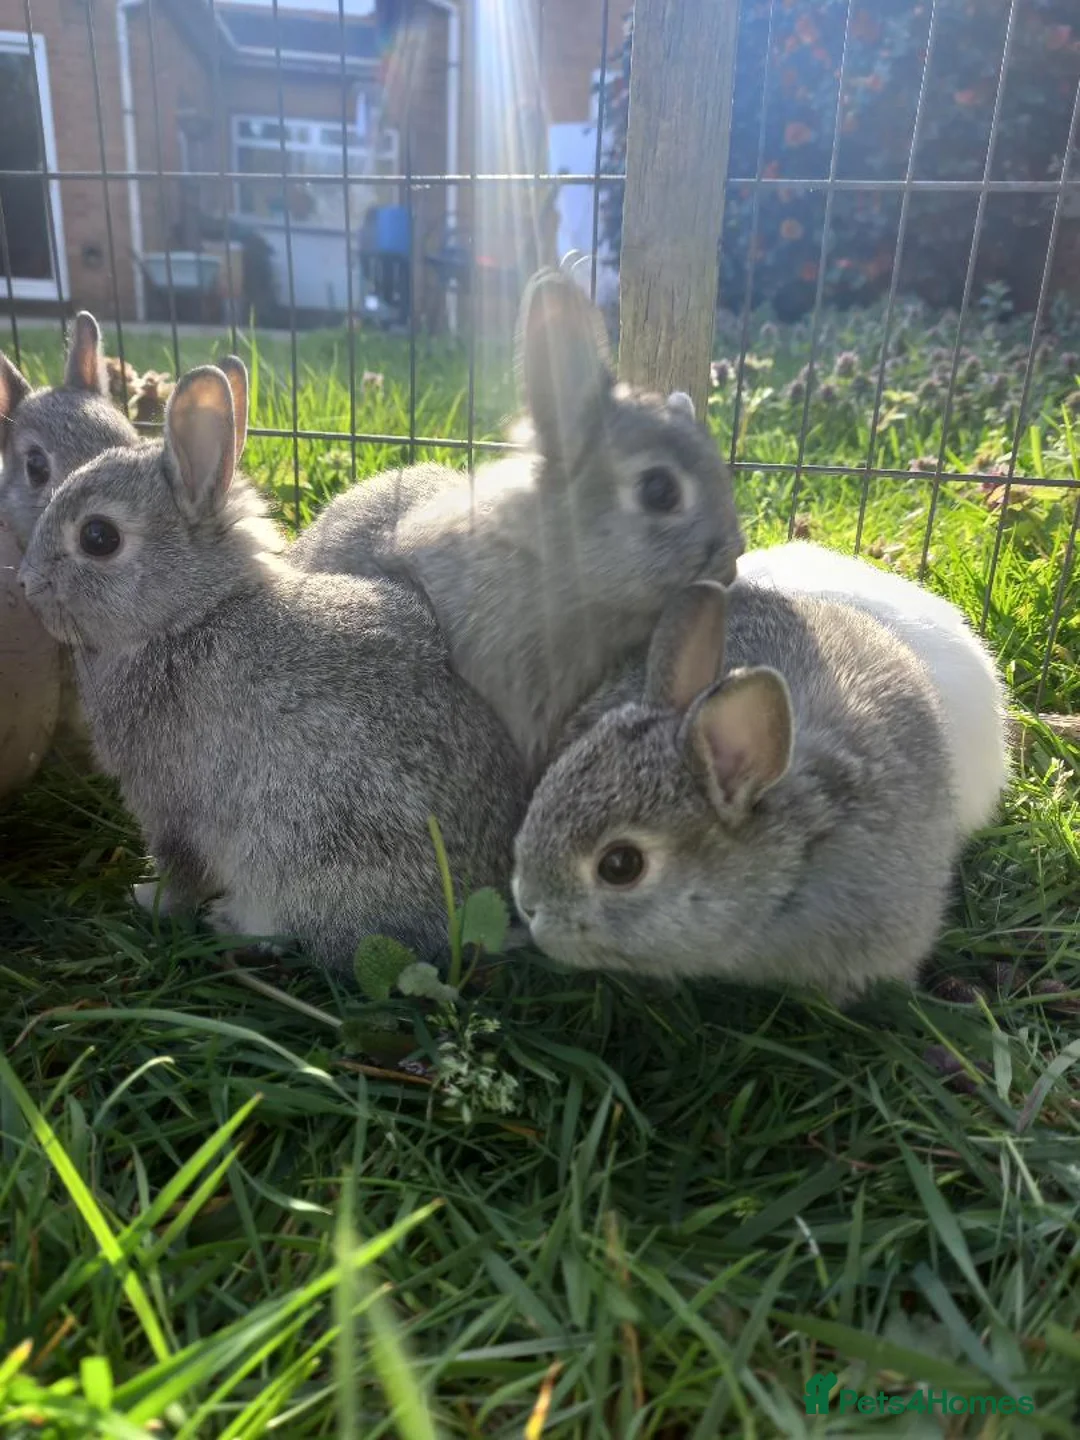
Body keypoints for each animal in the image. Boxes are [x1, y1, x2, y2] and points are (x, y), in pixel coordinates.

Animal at [17, 360, 525, 969]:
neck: (187, 617)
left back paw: (231, 923)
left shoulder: (169, 803)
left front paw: (147, 899)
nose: (25, 583)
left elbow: (180, 866)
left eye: (98, 537)